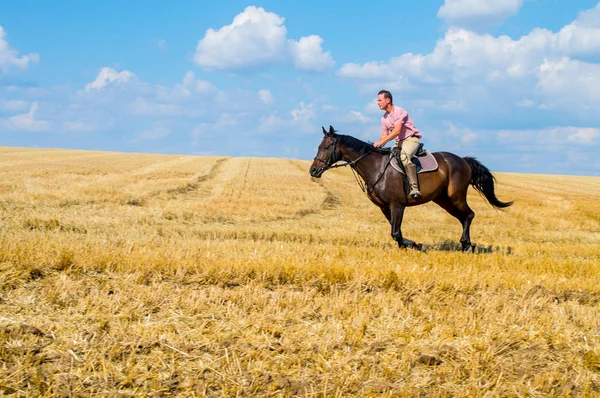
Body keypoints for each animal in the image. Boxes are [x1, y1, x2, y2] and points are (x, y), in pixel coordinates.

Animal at [310, 126, 510, 250]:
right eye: (319, 146)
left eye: (326, 147)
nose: (313, 170)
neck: (375, 167)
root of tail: (464, 161)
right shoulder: (385, 207)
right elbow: (395, 232)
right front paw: (409, 246)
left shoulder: (397, 205)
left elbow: (395, 232)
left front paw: (415, 245)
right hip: (443, 200)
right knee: (463, 217)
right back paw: (467, 244)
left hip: (456, 196)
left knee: (469, 215)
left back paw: (467, 245)